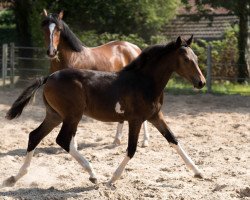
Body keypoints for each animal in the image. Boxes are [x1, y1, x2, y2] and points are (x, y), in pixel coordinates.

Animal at [2, 36, 205, 188]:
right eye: (186, 59)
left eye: (195, 58)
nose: (201, 82)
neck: (144, 82)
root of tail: (49, 76)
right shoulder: (136, 120)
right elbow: (131, 149)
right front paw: (112, 179)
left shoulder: (155, 117)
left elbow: (173, 140)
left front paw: (198, 172)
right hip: (72, 115)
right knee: (62, 140)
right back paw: (93, 174)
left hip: (55, 115)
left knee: (35, 136)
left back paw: (15, 177)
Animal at [42, 9, 149, 146]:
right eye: (44, 28)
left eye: (59, 29)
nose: (51, 52)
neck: (73, 58)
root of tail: (134, 48)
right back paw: (116, 140)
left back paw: (145, 141)